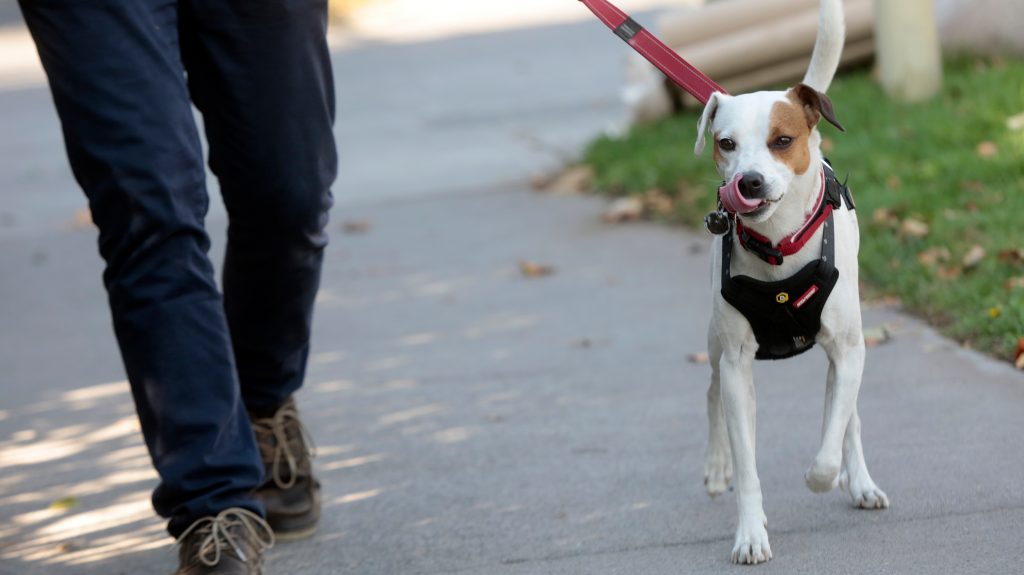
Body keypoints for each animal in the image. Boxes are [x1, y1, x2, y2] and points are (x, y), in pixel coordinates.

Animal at [696, 0, 888, 564]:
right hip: (714, 343)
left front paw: (825, 477)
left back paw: (860, 481)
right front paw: (750, 532)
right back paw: (716, 469)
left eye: (783, 141)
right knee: (711, 391)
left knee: (849, 414)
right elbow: (747, 461)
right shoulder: (738, 364)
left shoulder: (846, 349)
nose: (749, 182)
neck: (779, 247)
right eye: (726, 144)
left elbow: (830, 442)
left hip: (847, 343)